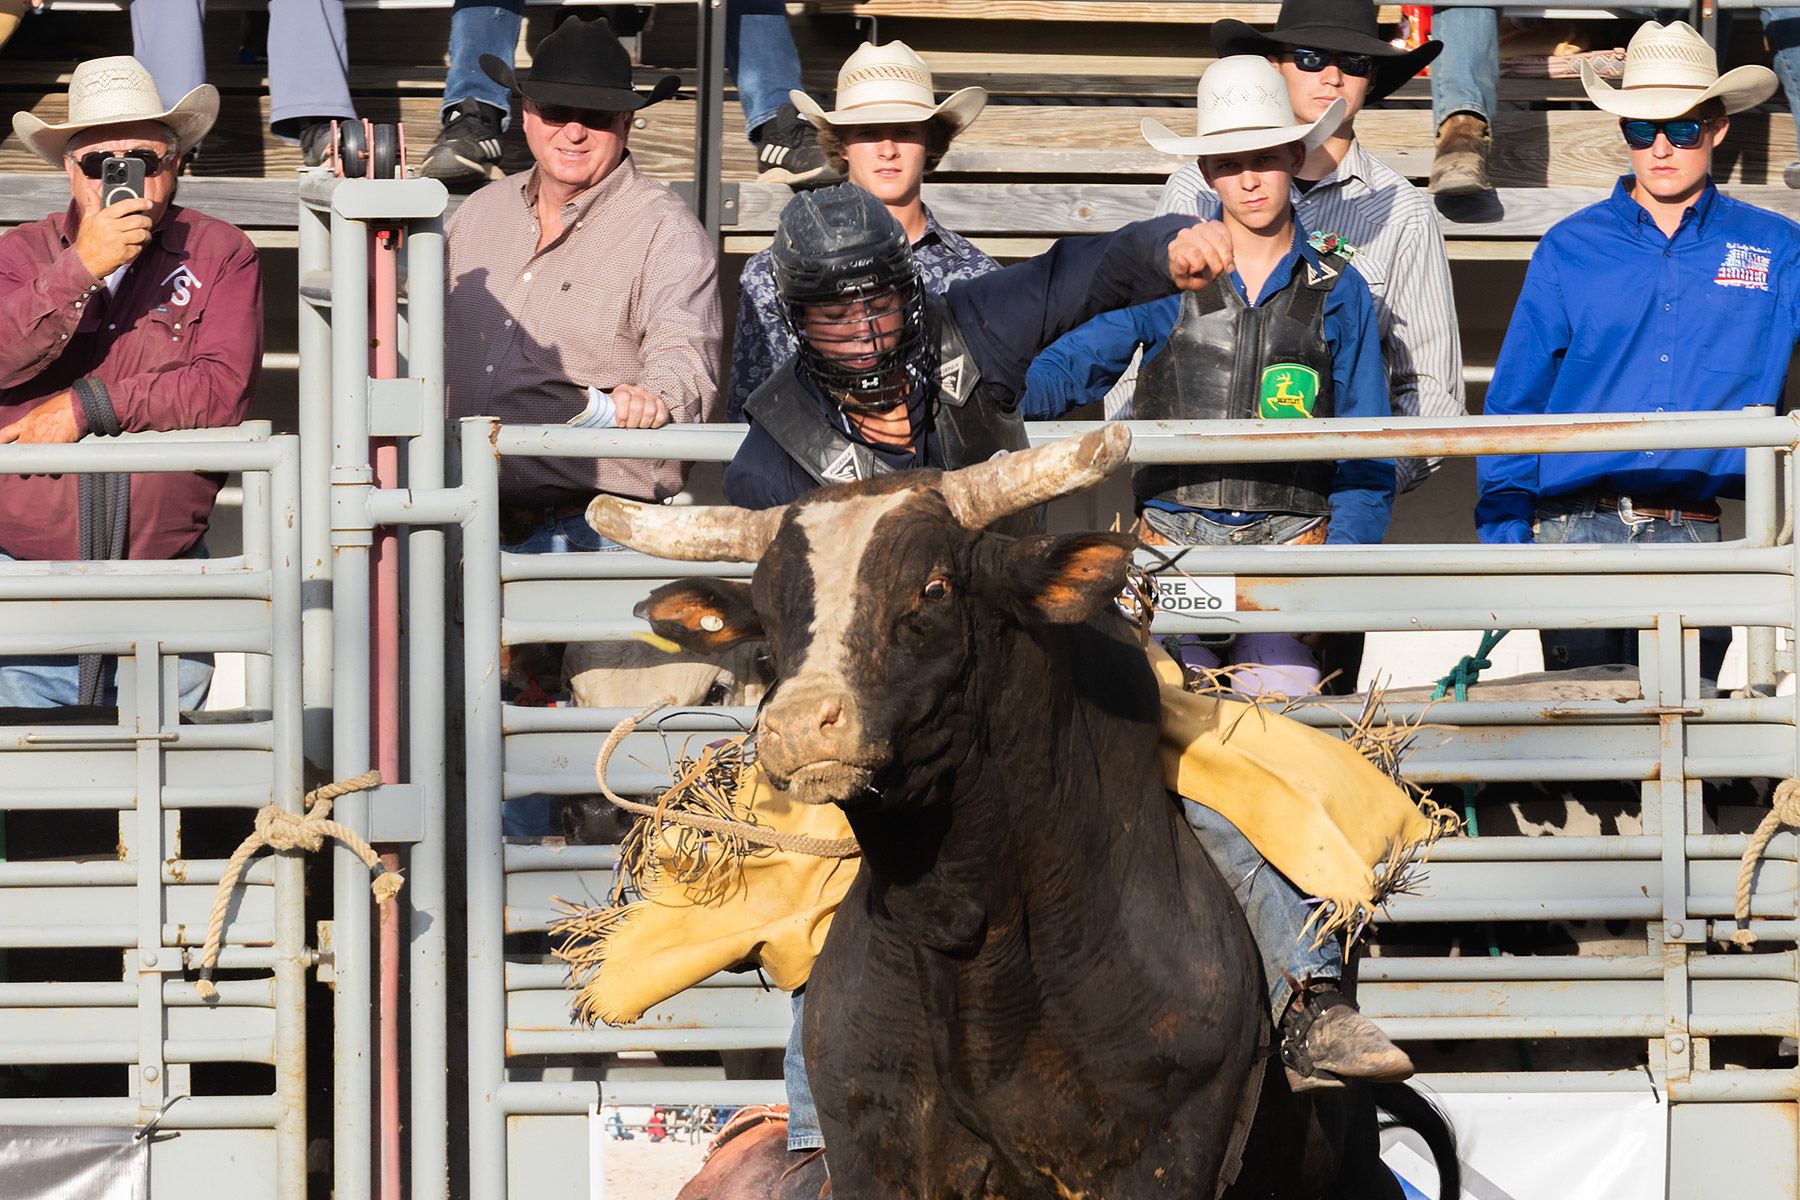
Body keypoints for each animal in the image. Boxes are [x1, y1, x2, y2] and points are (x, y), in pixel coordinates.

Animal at [590, 426, 1456, 1199]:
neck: (971, 939)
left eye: (934, 587)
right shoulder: (875, 1157)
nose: (802, 726)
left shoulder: (1162, 1159)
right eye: (767, 620)